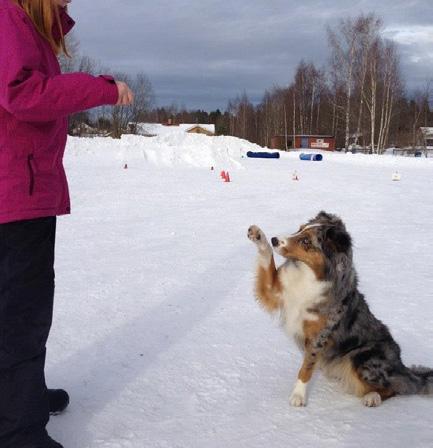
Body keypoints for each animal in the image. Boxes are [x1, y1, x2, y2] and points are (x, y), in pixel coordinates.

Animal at [246, 212, 432, 408]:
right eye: (299, 229)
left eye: (306, 241)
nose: (275, 239)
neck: (309, 274)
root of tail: (402, 367)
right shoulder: (276, 292)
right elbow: (267, 259)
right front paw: (258, 236)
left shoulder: (320, 335)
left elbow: (306, 368)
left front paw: (298, 396)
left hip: (361, 356)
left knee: (394, 388)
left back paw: (373, 397)